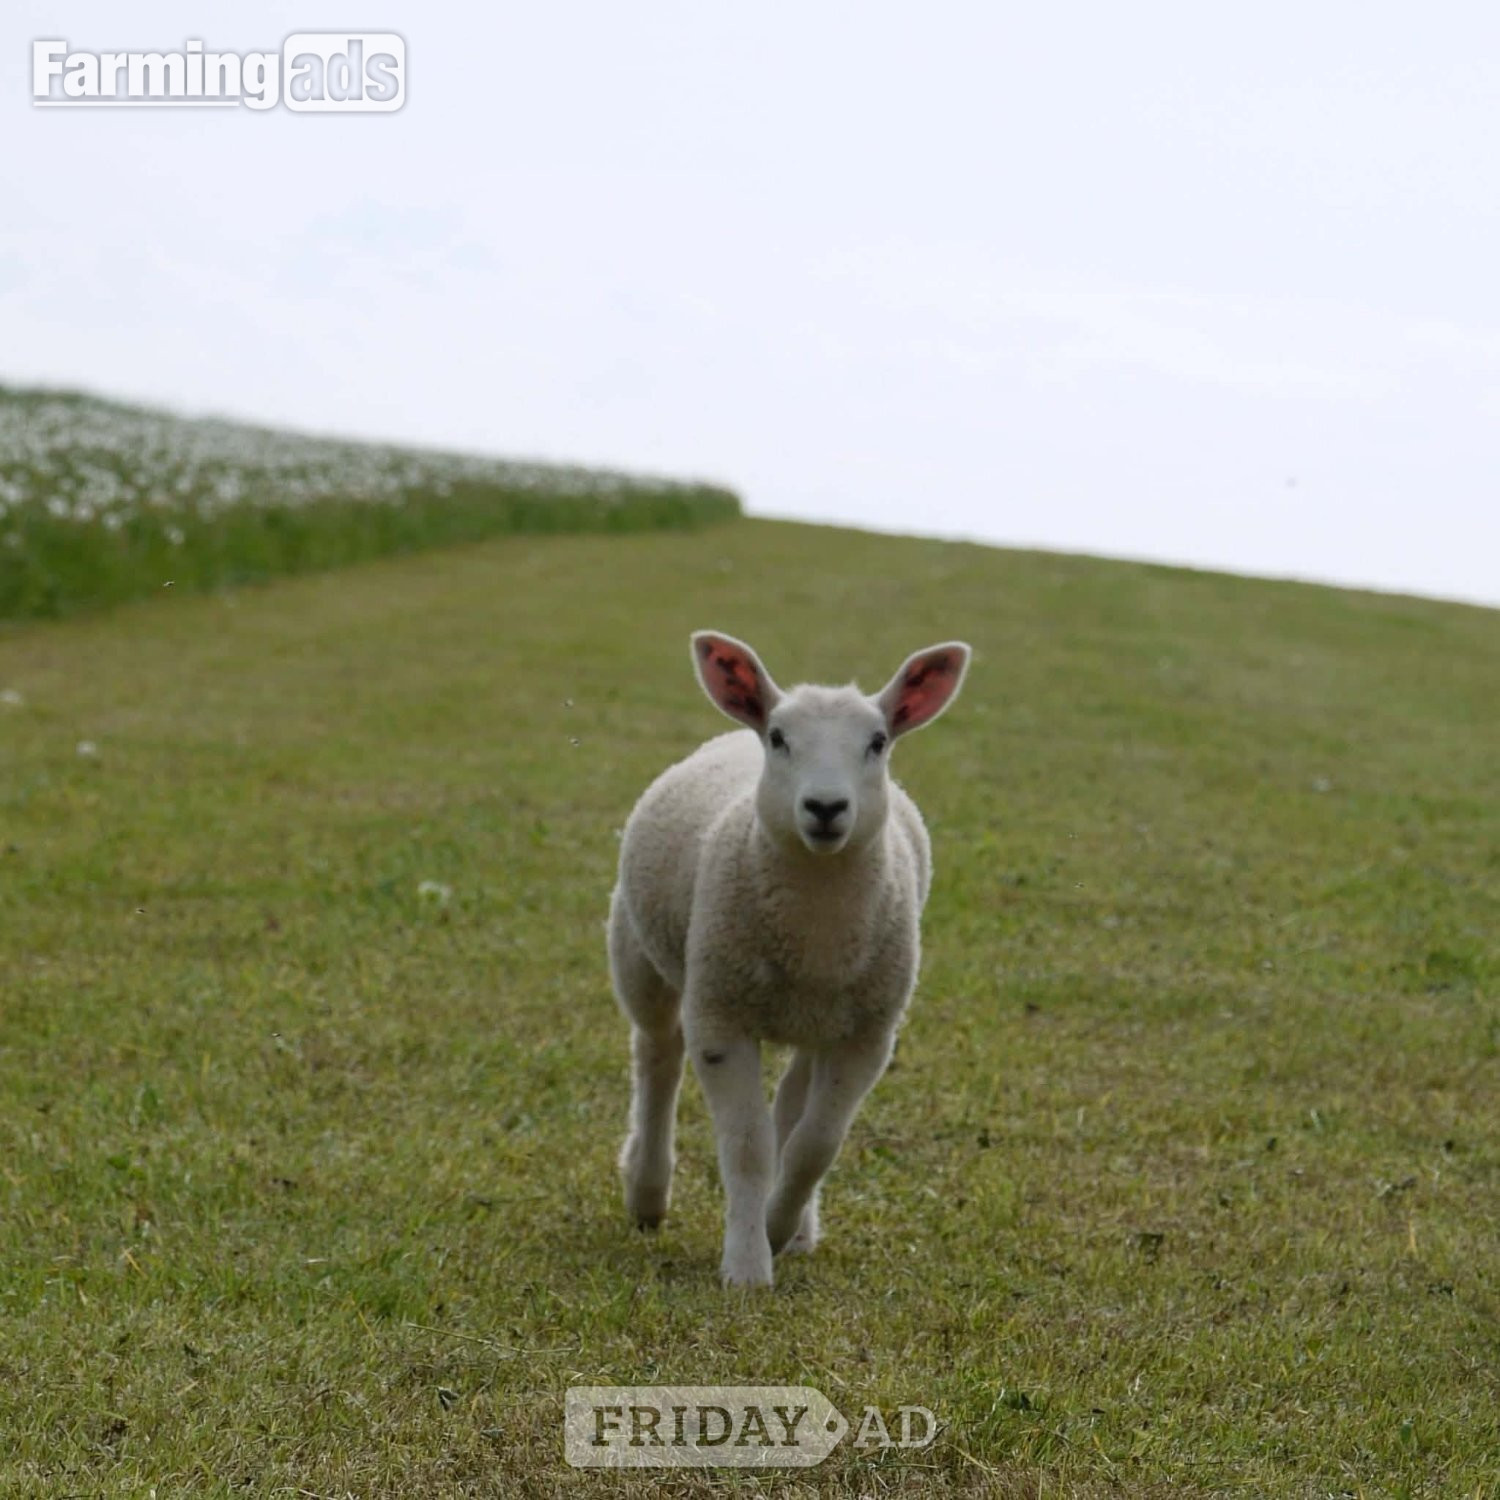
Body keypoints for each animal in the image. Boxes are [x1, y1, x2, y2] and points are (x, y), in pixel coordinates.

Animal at [607, 629, 971, 1287]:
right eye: (780, 739)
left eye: (877, 742)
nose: (825, 807)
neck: (815, 928)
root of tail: (733, 733)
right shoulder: (720, 1016)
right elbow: (748, 1146)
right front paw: (747, 1267)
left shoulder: (868, 1035)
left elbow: (814, 1145)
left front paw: (777, 1227)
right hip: (640, 952)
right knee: (657, 1057)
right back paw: (647, 1192)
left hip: (821, 1016)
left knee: (791, 1098)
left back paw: (796, 1228)